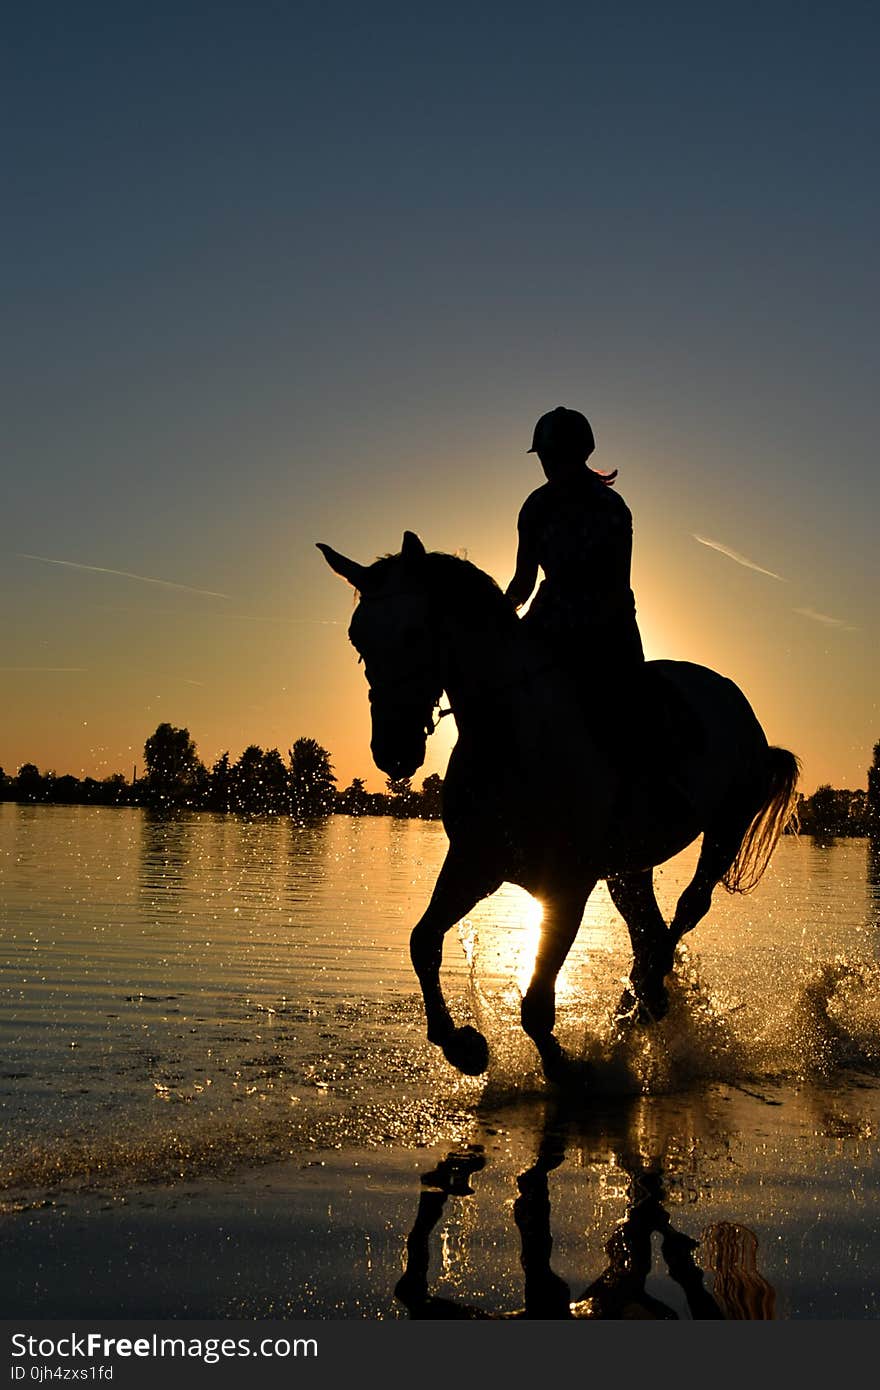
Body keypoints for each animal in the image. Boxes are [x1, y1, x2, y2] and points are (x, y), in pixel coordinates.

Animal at [316, 533, 795, 1084]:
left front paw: (568, 1070)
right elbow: (423, 942)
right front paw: (463, 1047)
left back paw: (643, 1000)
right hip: (628, 868)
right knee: (648, 930)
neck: (514, 736)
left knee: (687, 910)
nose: (393, 751)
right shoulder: (475, 864)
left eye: (415, 633)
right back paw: (641, 1004)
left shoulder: (567, 883)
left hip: (724, 829)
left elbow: (537, 1004)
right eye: (358, 639)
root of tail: (731, 697)